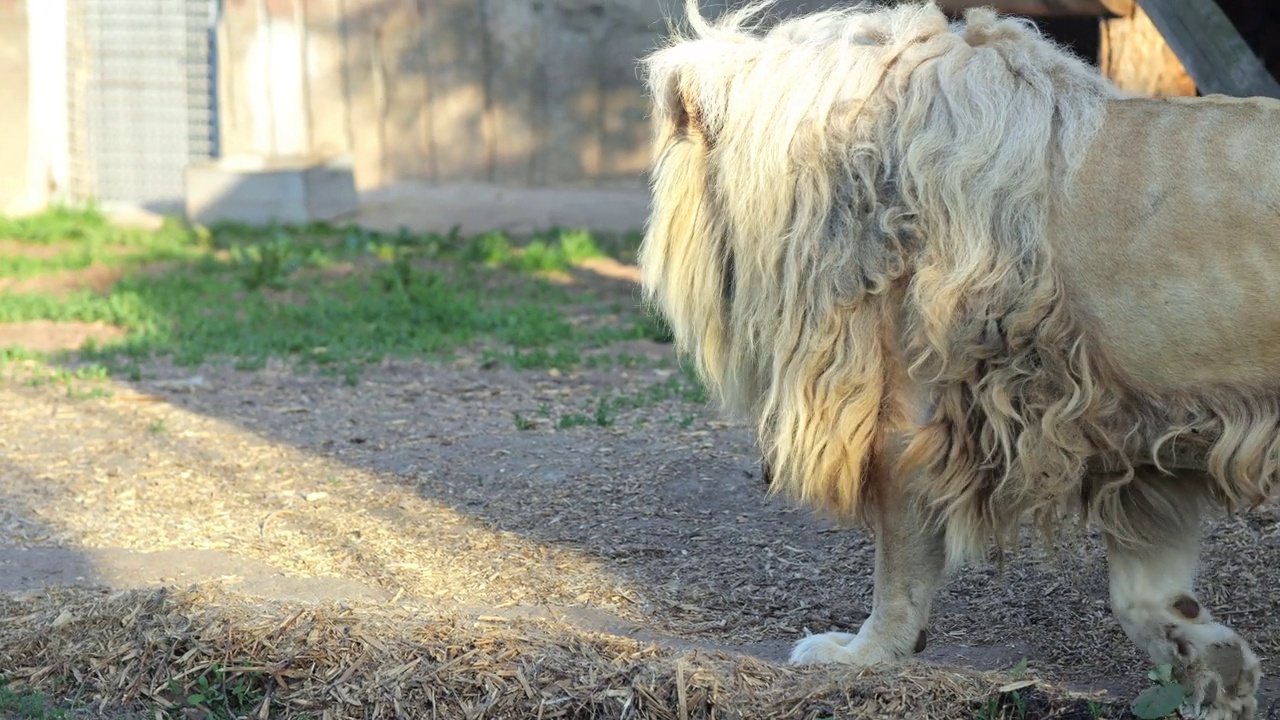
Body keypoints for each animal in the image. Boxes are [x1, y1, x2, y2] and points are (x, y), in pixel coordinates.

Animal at [645, 2, 1280, 712]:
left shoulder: (907, 418)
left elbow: (898, 564)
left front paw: (864, 653)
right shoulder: (1141, 427)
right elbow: (1142, 596)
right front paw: (1222, 671)